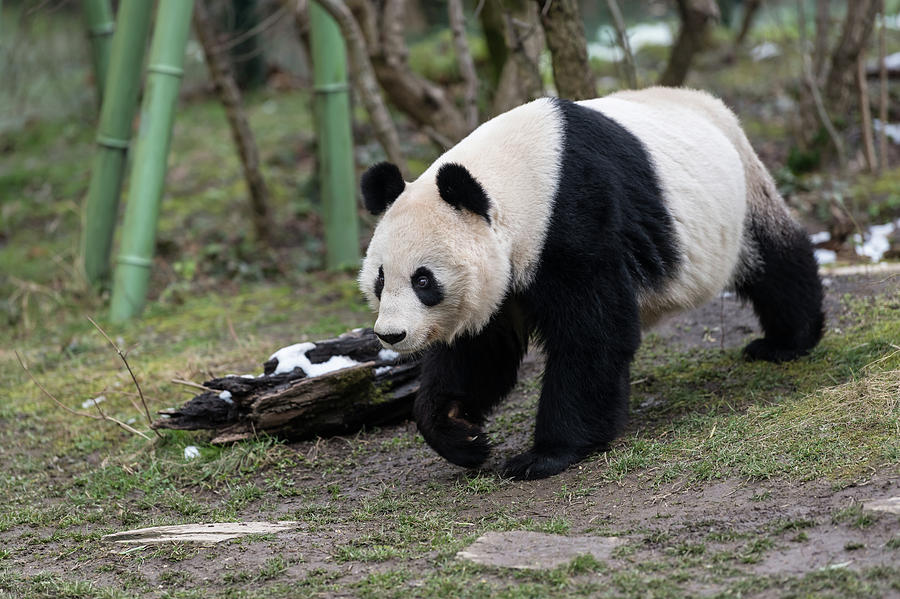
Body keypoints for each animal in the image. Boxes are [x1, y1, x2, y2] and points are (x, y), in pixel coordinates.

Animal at [356, 88, 824, 482]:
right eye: (380, 279)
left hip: (741, 192)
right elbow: (481, 351)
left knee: (776, 259)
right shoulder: (507, 274)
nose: (391, 334)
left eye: (423, 279)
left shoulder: (575, 216)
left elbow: (592, 333)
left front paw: (545, 455)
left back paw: (786, 341)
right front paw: (462, 433)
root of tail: (711, 103)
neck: (516, 177)